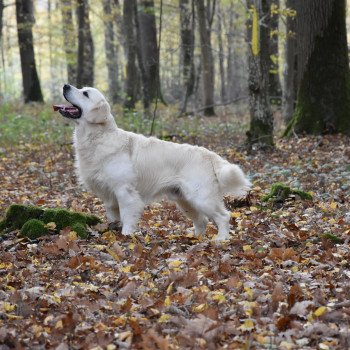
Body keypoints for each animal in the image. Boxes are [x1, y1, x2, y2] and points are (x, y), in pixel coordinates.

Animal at [54, 85, 250, 241]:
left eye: (85, 93)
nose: (65, 86)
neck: (98, 138)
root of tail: (209, 154)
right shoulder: (109, 197)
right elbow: (113, 219)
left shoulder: (125, 192)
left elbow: (127, 218)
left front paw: (126, 236)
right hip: (184, 200)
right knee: (202, 220)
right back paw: (196, 239)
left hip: (201, 197)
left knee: (223, 216)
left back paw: (221, 239)